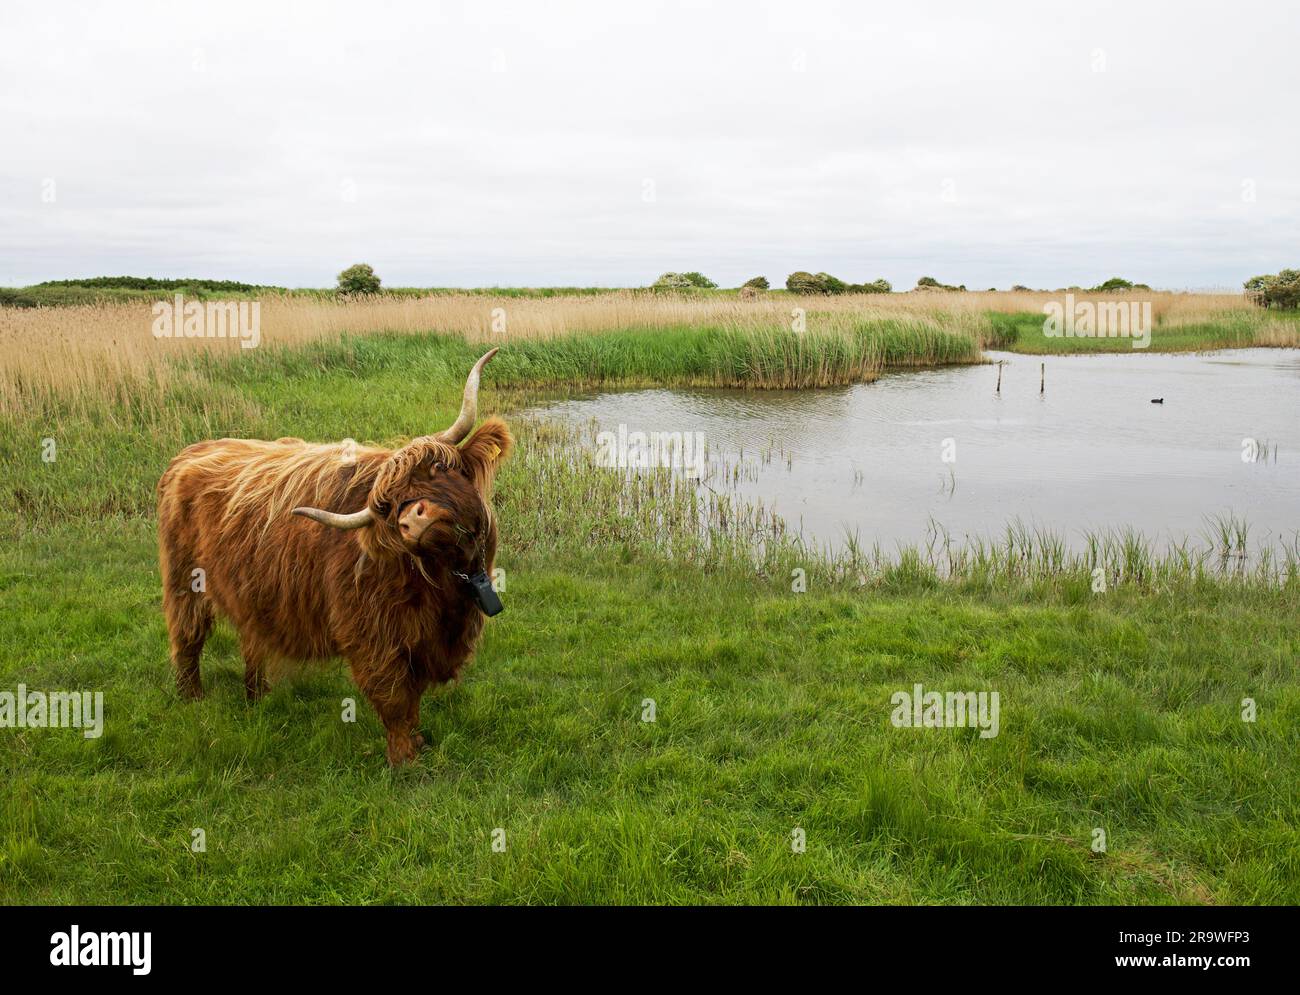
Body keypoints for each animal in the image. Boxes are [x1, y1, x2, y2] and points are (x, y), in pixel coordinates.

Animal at [157, 345, 512, 764]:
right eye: (387, 507)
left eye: (438, 466)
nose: (413, 518)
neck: (443, 584)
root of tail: (189, 453)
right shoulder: (372, 633)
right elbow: (395, 696)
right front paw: (404, 756)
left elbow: (414, 694)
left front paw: (419, 742)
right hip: (185, 580)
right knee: (187, 636)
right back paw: (192, 698)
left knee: (251, 638)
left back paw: (258, 697)